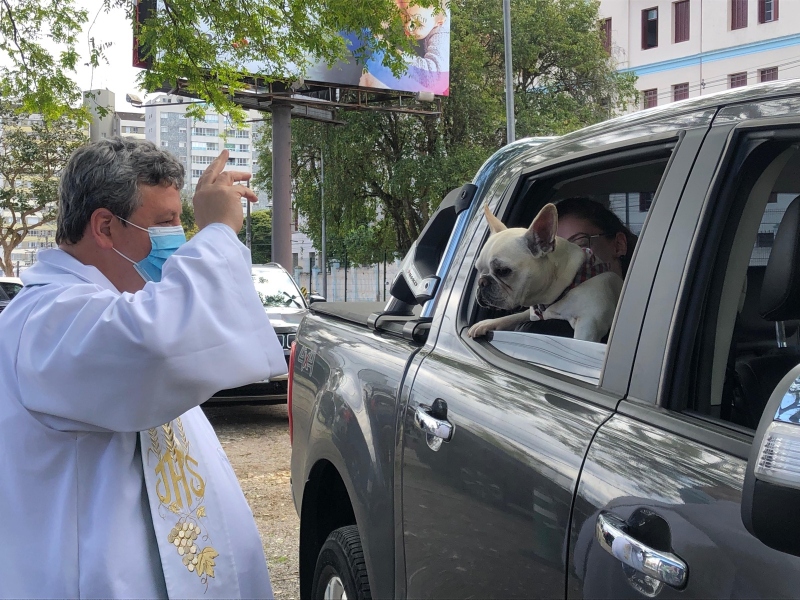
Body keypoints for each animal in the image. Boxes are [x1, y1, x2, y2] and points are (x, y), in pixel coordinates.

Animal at [468, 203, 624, 340]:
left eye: (503, 271)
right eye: (478, 270)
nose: (482, 282)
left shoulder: (589, 324)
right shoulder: (532, 312)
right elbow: (513, 317)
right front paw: (487, 324)